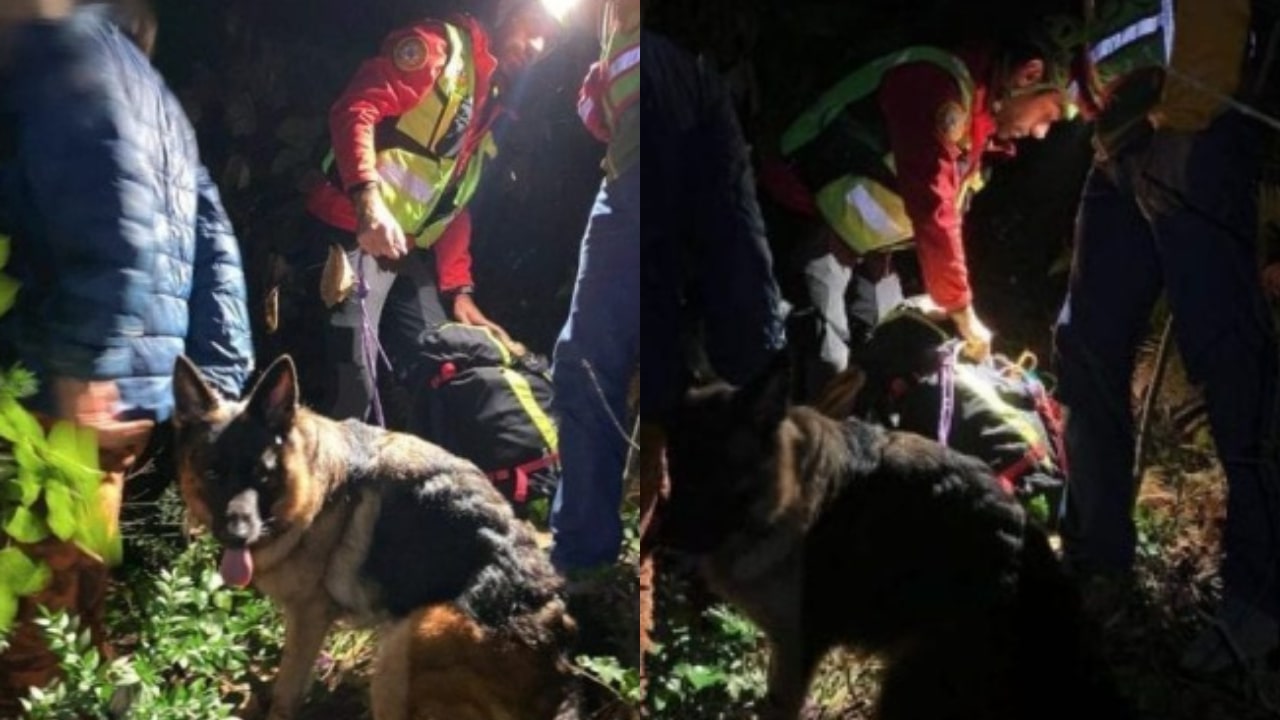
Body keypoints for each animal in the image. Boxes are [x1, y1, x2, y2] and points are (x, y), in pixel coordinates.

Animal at [170, 353, 576, 717]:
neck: (312, 489)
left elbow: (287, 692)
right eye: (212, 473)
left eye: (263, 474)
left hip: (406, 641)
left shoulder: (308, 617)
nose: (237, 536)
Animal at [655, 353, 1126, 717]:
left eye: (713, 473)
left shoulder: (794, 653)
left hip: (906, 688)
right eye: (673, 469)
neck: (787, 494)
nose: (661, 540)